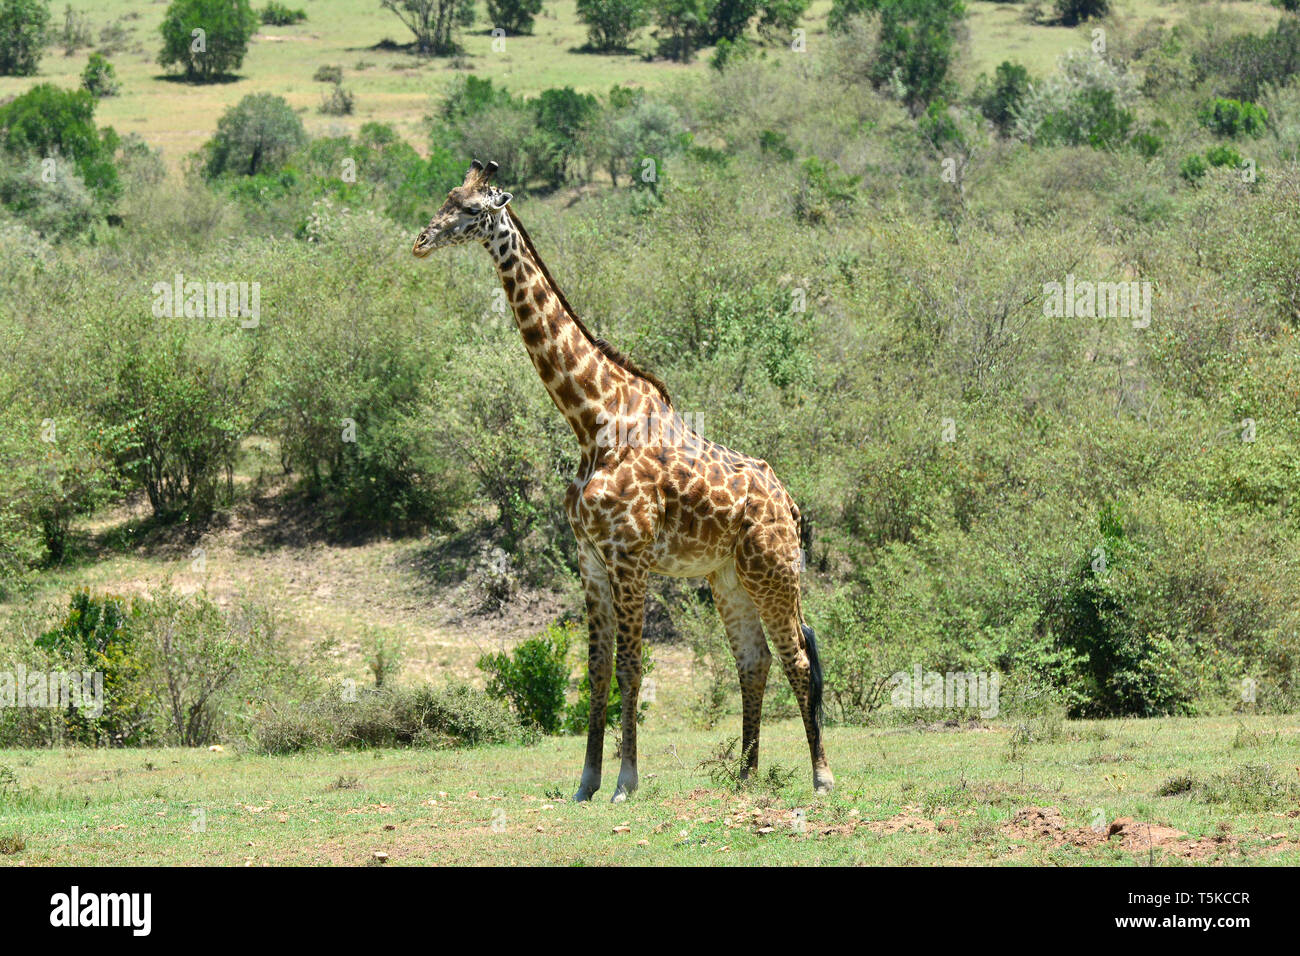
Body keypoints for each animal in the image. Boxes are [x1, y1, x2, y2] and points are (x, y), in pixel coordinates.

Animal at [410, 160, 832, 806]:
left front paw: (625, 782)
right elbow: (597, 669)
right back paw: (745, 776)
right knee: (754, 660)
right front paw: (586, 782)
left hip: (774, 570)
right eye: (446, 198)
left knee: (798, 658)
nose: (421, 241)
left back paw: (820, 776)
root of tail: (791, 503)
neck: (592, 421)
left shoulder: (630, 557)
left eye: (472, 210)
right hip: (728, 577)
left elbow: (633, 666)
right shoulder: (589, 558)